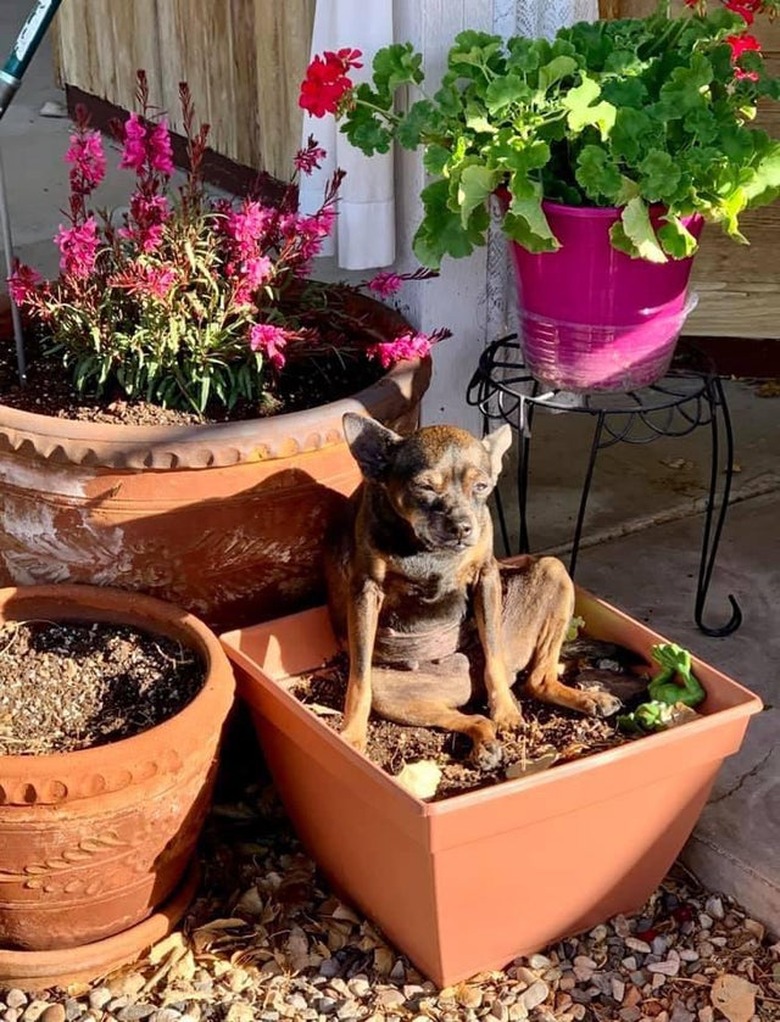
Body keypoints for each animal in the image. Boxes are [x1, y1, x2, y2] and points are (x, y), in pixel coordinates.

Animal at [325, 410, 621, 764]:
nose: (463, 527)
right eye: (424, 487)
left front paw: (506, 712)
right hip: (394, 694)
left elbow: (493, 652)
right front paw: (351, 738)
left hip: (553, 572)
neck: (427, 550)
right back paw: (485, 746)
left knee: (533, 679)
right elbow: (359, 680)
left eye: (481, 487)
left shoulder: (486, 577)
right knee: (478, 716)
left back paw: (583, 700)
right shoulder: (366, 592)